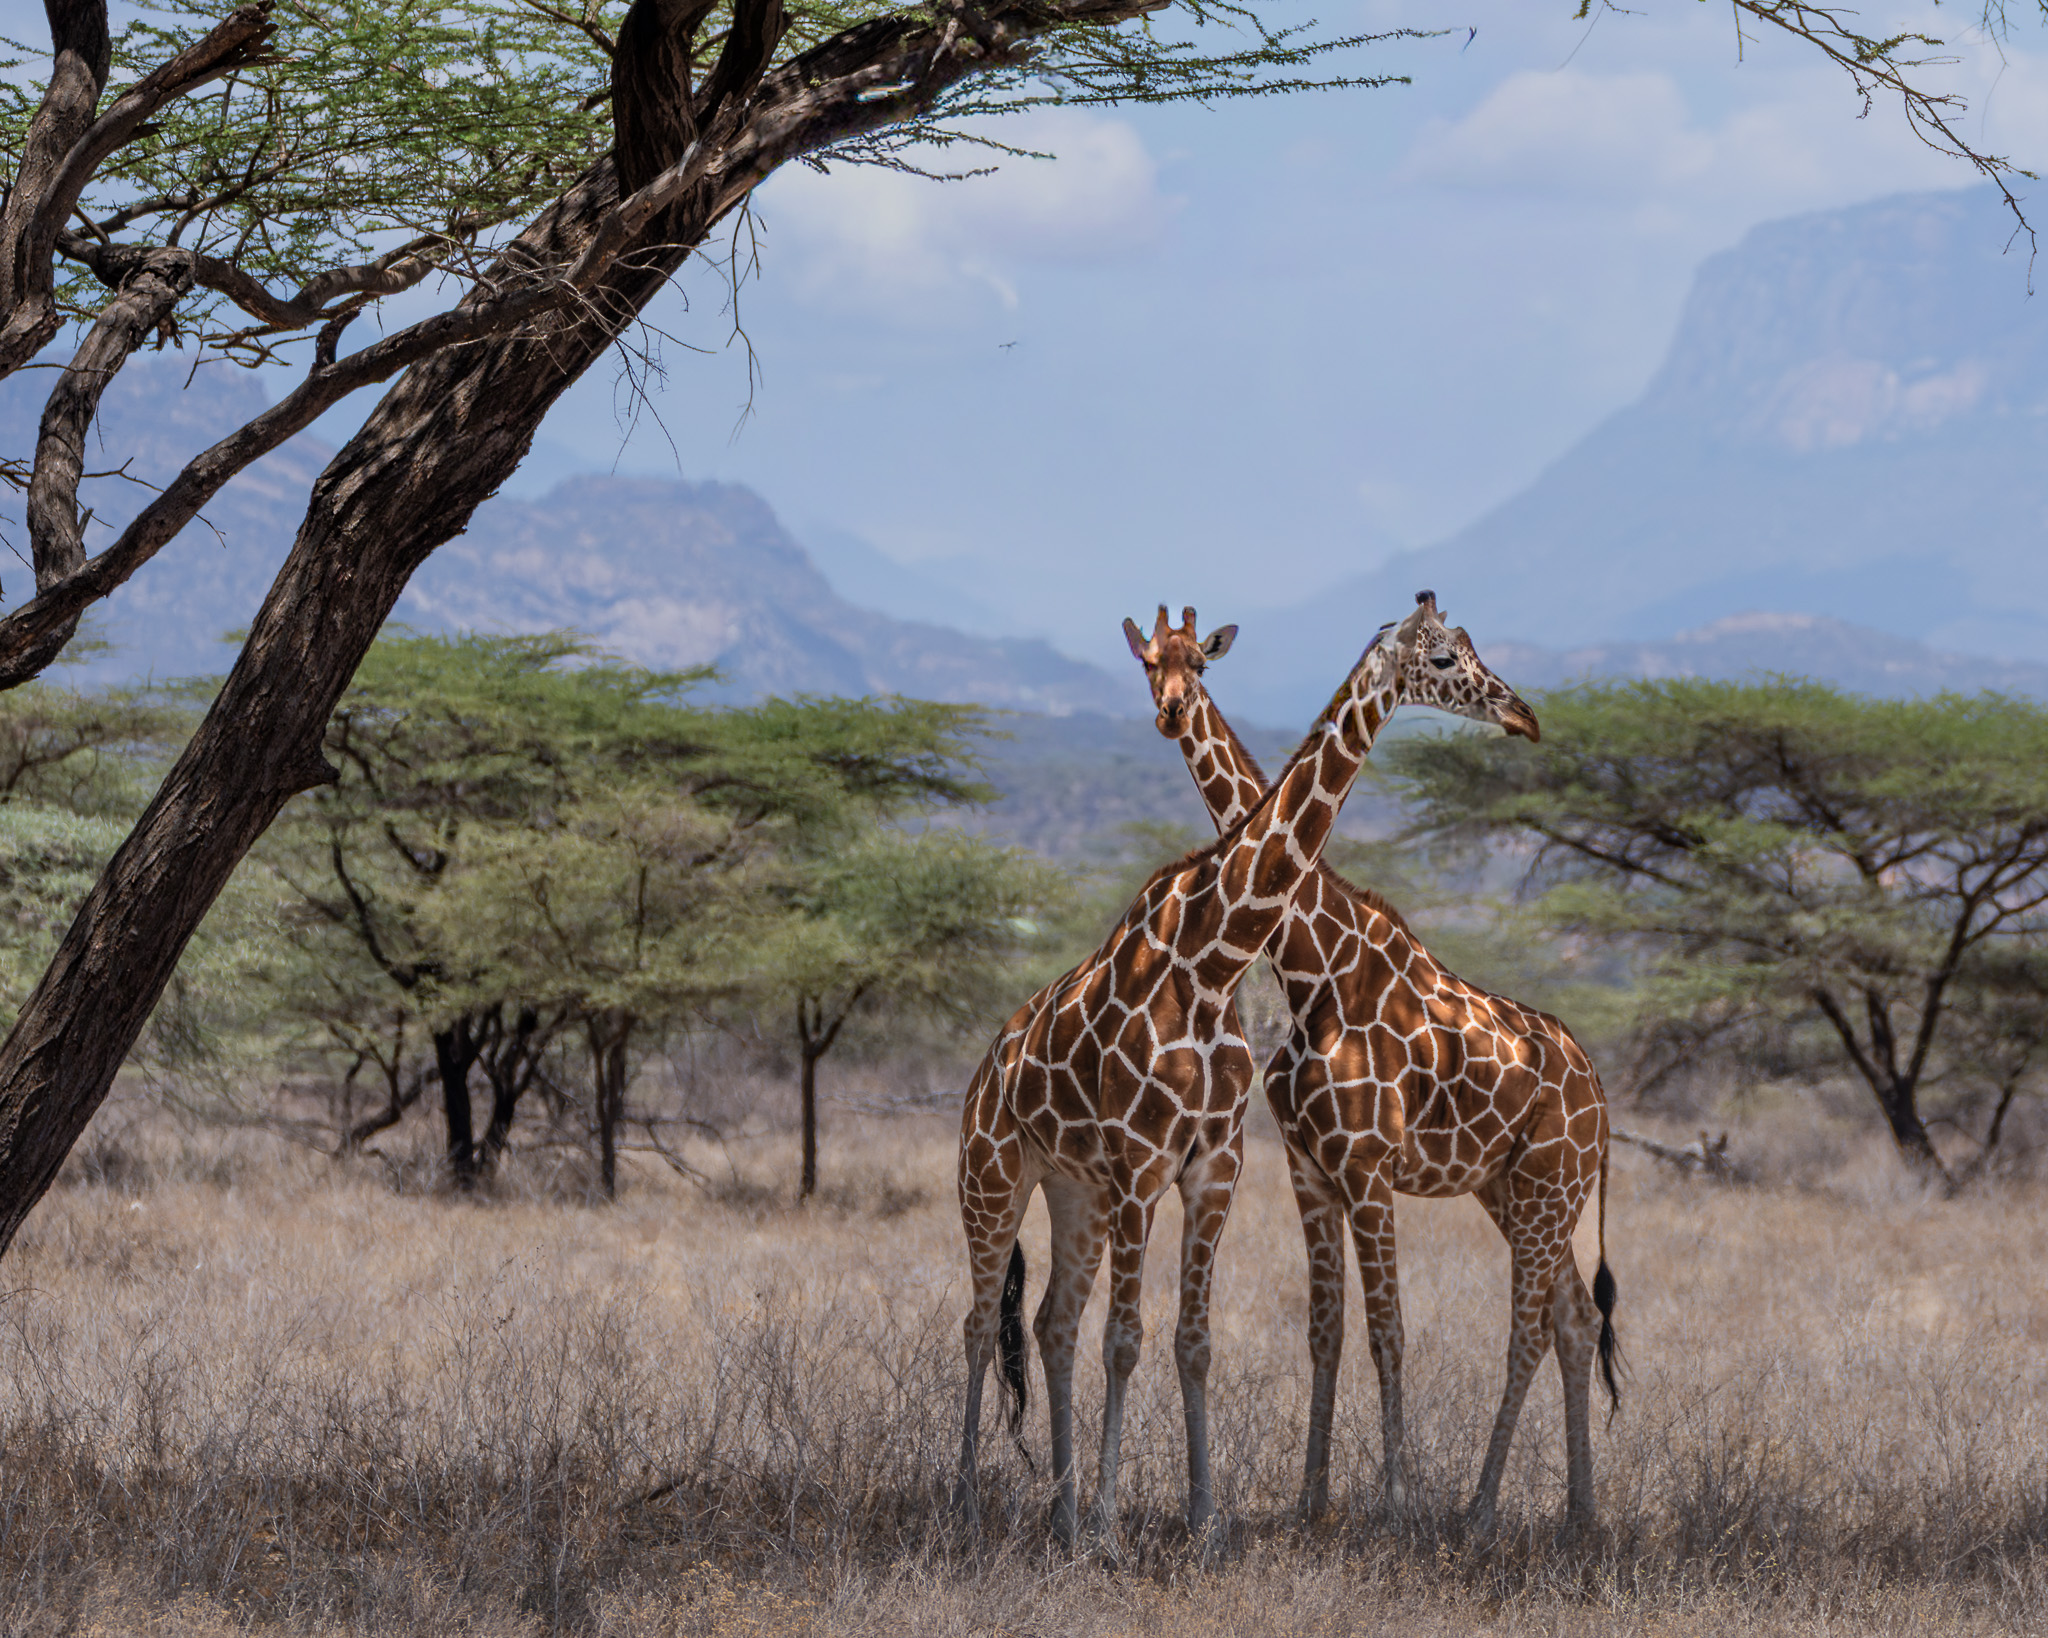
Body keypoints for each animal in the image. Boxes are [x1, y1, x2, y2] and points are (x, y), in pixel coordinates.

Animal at [953, 592, 1538, 1553]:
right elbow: (1128, 1338)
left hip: (1071, 1189)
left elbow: (1190, 1340)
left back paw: (1062, 1511)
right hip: (992, 1176)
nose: (1522, 713)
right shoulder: (1141, 1167)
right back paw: (974, 1501)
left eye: (1202, 662)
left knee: (1049, 1323)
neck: (1212, 963)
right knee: (976, 1322)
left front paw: (1202, 1520)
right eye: (1444, 660)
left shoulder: (1211, 1168)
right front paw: (1114, 1528)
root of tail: (984, 1068)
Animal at [1123, 597, 1617, 1534]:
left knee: (1531, 1327)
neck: (1310, 965)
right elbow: (1328, 1329)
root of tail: (1600, 1093)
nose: (1523, 714)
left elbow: (1391, 1329)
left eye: (1198, 664)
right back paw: (1579, 1516)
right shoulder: (1312, 1168)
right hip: (1517, 1190)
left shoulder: (1370, 1167)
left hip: (1550, 1188)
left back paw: (1479, 1510)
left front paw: (1397, 1503)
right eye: (1148, 663)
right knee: (1572, 1319)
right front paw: (1311, 1501)